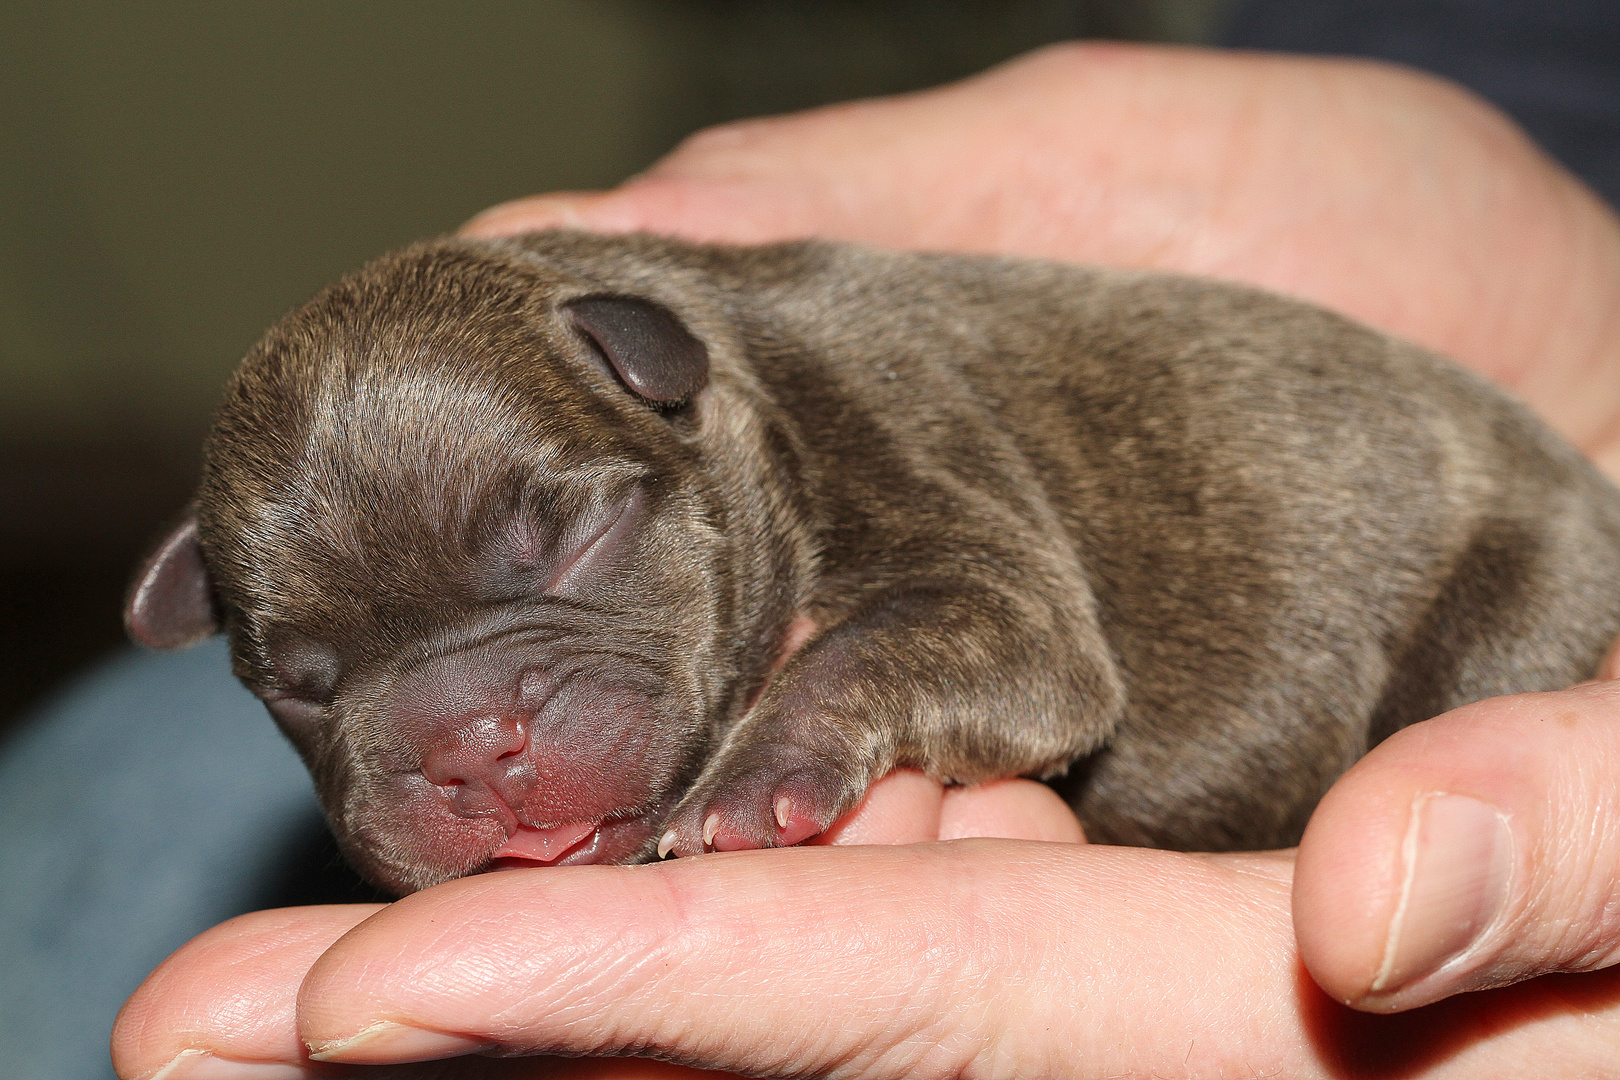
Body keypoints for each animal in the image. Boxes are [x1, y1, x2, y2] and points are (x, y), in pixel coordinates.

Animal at [123, 234, 1620, 893]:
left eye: (576, 537)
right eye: (298, 684)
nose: (471, 747)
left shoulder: (970, 541)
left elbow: (869, 643)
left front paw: (752, 783)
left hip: (1519, 595)